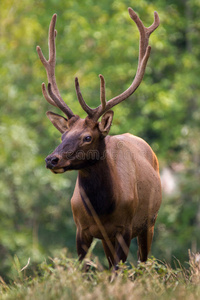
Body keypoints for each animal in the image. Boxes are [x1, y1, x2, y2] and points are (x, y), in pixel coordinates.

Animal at [36, 7, 162, 270]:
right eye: (63, 134)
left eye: (87, 137)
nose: (51, 159)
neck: (103, 209)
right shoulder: (82, 230)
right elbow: (83, 270)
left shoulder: (125, 229)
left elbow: (117, 271)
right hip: (108, 238)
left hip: (150, 222)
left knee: (144, 264)